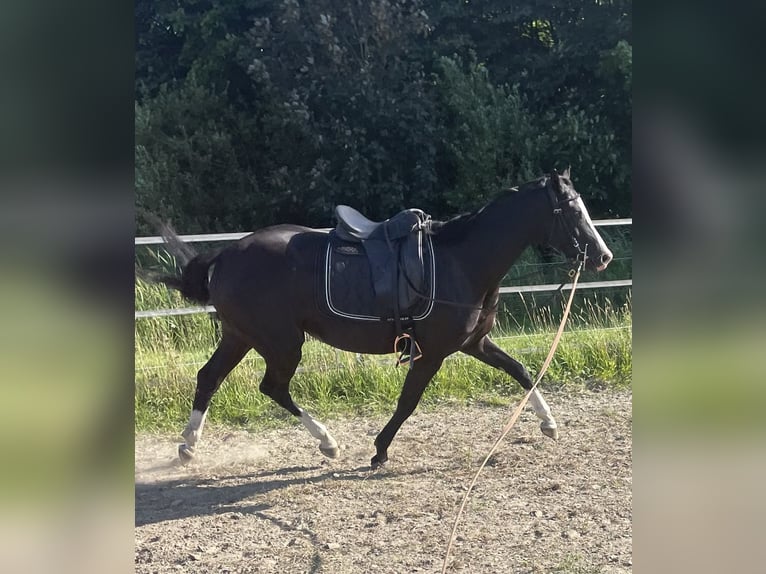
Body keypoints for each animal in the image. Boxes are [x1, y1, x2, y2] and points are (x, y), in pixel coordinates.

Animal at [150, 169, 616, 470]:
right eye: (572, 211)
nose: (603, 256)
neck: (461, 260)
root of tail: (226, 254)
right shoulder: (432, 353)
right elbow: (408, 401)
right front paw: (379, 450)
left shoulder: (474, 343)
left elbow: (521, 370)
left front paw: (549, 423)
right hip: (281, 342)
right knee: (272, 387)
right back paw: (328, 443)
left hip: (241, 336)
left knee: (209, 377)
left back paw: (189, 446)